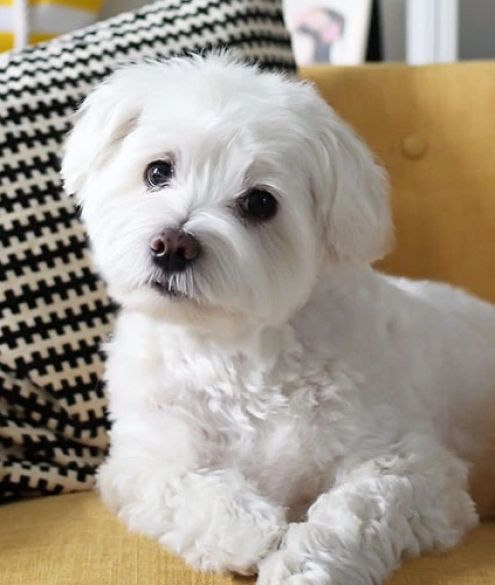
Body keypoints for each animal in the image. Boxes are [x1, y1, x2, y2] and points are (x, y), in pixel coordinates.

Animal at [61, 54, 495, 584]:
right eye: (158, 170)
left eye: (260, 203)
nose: (173, 245)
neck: (234, 353)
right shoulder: (140, 461)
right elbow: (182, 484)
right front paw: (249, 530)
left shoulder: (418, 470)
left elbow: (355, 509)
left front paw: (300, 566)